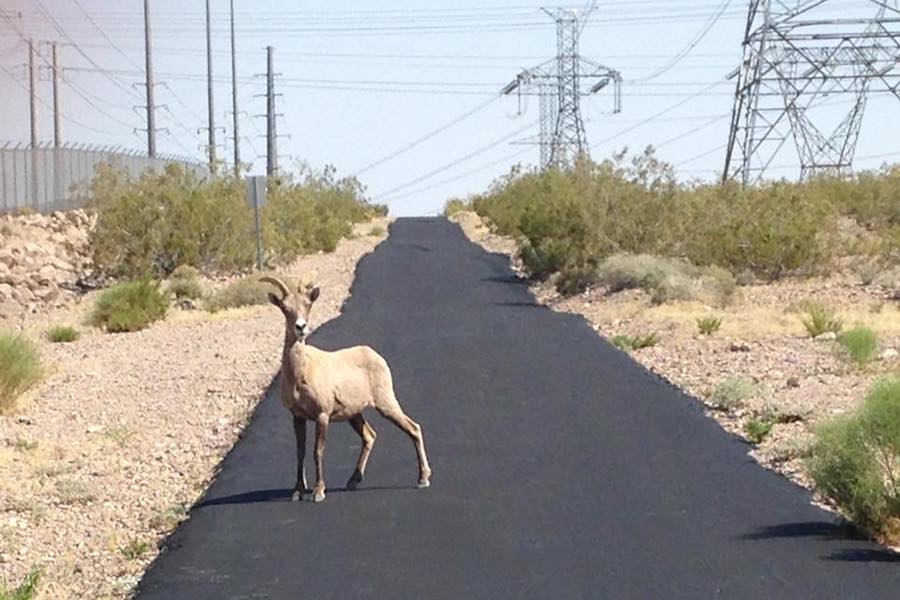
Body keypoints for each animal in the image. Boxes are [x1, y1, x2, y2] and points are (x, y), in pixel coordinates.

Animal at [260, 276, 432, 502]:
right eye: (285, 308)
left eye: (308, 304)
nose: (301, 327)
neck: (300, 374)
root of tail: (375, 355)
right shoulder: (298, 416)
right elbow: (300, 452)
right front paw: (297, 492)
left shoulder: (322, 416)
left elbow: (318, 451)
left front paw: (318, 492)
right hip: (354, 414)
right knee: (370, 436)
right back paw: (352, 482)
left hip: (385, 403)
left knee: (413, 428)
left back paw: (423, 479)